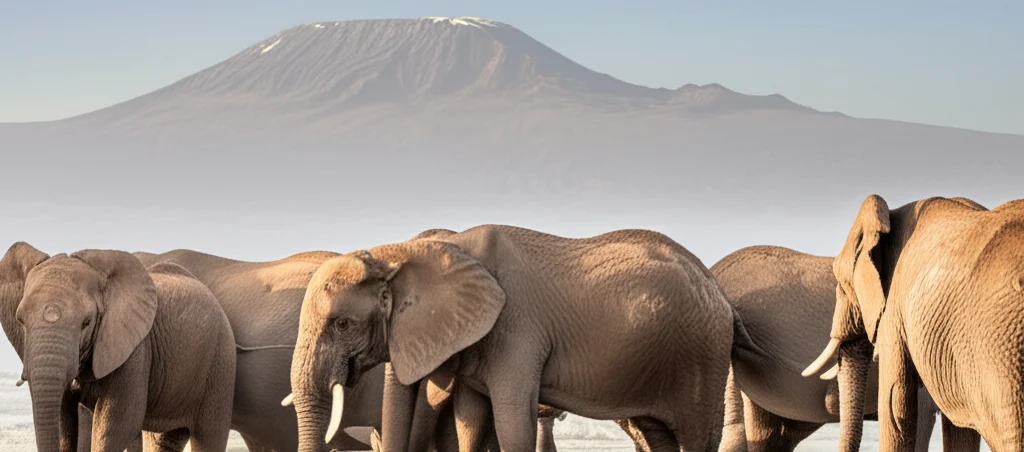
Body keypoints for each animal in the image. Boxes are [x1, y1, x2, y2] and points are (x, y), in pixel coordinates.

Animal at [0, 243, 236, 452]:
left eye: (86, 322)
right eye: (21, 321)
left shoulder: (135, 350)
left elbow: (116, 423)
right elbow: (64, 418)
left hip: (220, 362)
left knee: (209, 436)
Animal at [286, 224, 754, 452]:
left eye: (341, 325)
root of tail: (720, 293)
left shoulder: (516, 330)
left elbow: (513, 421)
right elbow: (472, 423)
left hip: (702, 355)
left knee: (695, 436)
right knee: (657, 435)